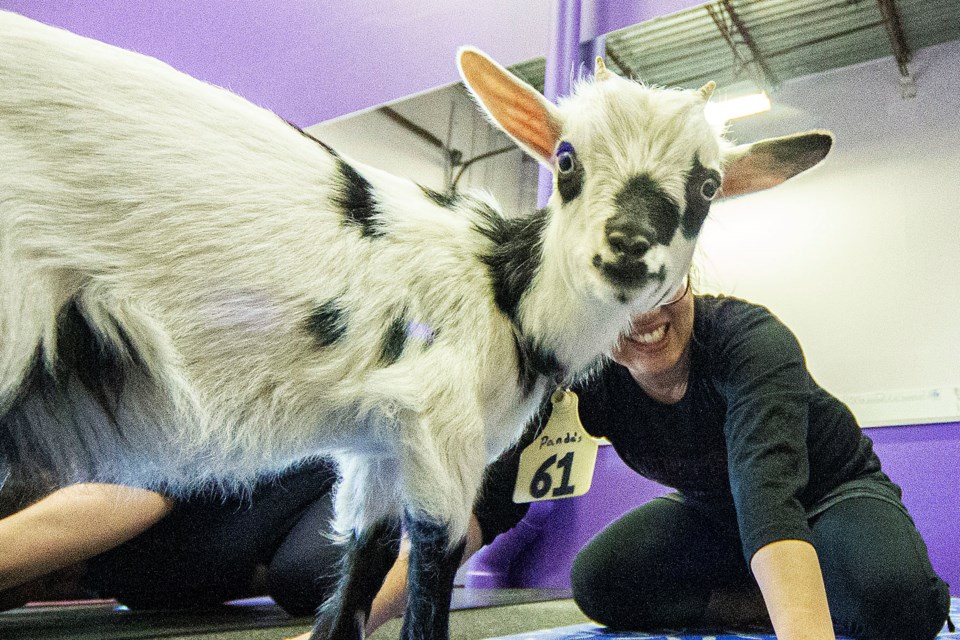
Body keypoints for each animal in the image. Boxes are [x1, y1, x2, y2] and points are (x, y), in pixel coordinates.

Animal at [0, 11, 828, 640]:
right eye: (566, 161)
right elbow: (432, 569)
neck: (502, 289)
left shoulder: (377, 445)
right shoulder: (439, 421)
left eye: (708, 186)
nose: (626, 249)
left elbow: (361, 572)